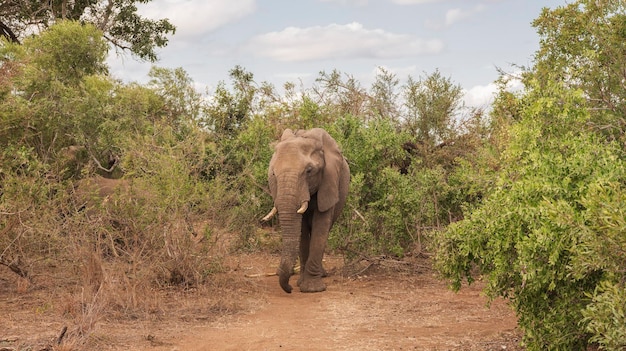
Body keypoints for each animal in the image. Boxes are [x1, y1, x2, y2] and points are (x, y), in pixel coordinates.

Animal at [260, 128, 348, 292]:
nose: (289, 288)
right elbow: (301, 230)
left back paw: (321, 274)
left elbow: (321, 227)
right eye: (273, 173)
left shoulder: (329, 182)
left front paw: (312, 289)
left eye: (309, 171)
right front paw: (301, 283)